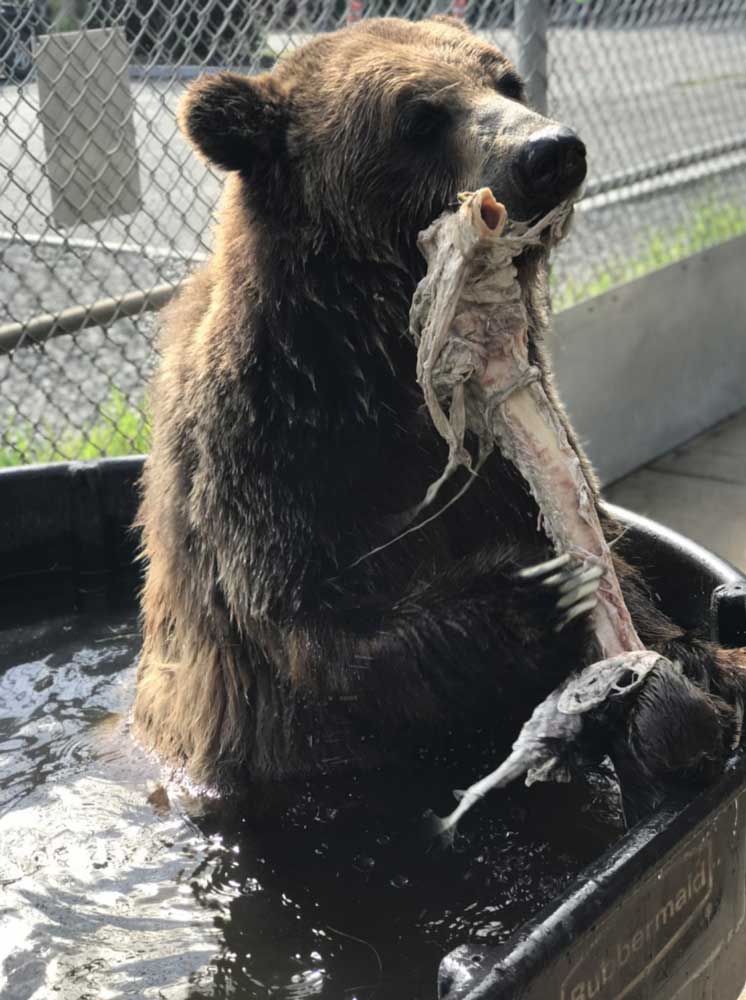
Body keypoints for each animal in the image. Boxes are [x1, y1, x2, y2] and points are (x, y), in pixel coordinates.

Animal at [134, 15, 746, 809]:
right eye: (419, 116)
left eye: (507, 80)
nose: (551, 152)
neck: (381, 356)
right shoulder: (272, 465)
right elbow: (321, 641)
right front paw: (540, 592)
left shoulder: (515, 448)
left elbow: (621, 572)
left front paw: (689, 687)